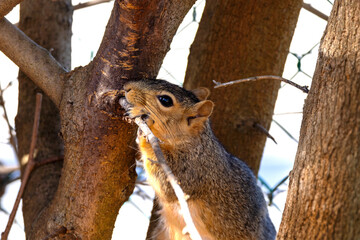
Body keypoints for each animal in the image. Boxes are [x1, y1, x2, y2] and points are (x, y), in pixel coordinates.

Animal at [120, 79, 276, 240]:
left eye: (165, 100)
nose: (127, 87)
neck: (193, 142)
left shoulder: (193, 170)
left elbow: (167, 188)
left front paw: (144, 126)